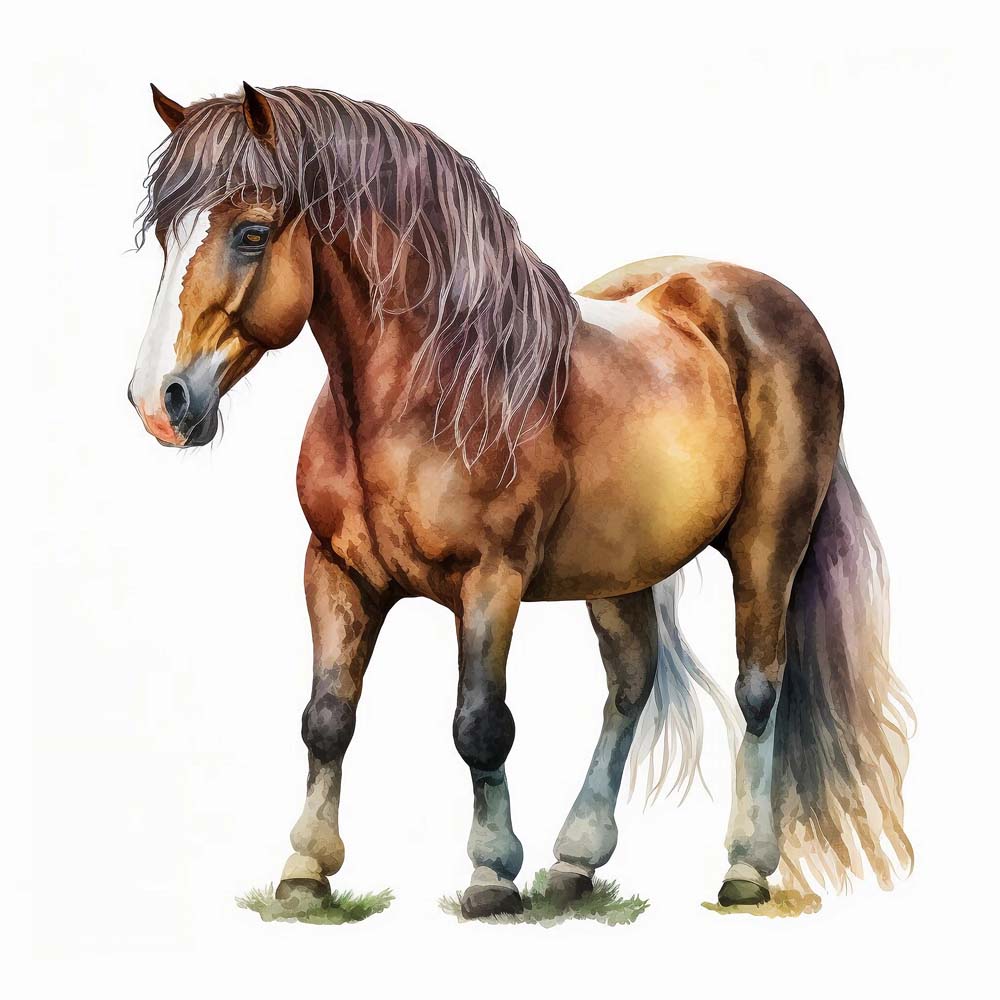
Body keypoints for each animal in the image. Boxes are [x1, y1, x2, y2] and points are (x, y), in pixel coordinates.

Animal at [128, 83, 913, 917]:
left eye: (251, 232)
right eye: (166, 236)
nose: (160, 401)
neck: (431, 387)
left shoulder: (490, 579)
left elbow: (480, 725)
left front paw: (491, 875)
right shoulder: (335, 572)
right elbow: (327, 719)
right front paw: (306, 870)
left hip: (769, 544)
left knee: (758, 689)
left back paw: (744, 867)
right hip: (620, 571)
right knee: (629, 686)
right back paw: (575, 861)